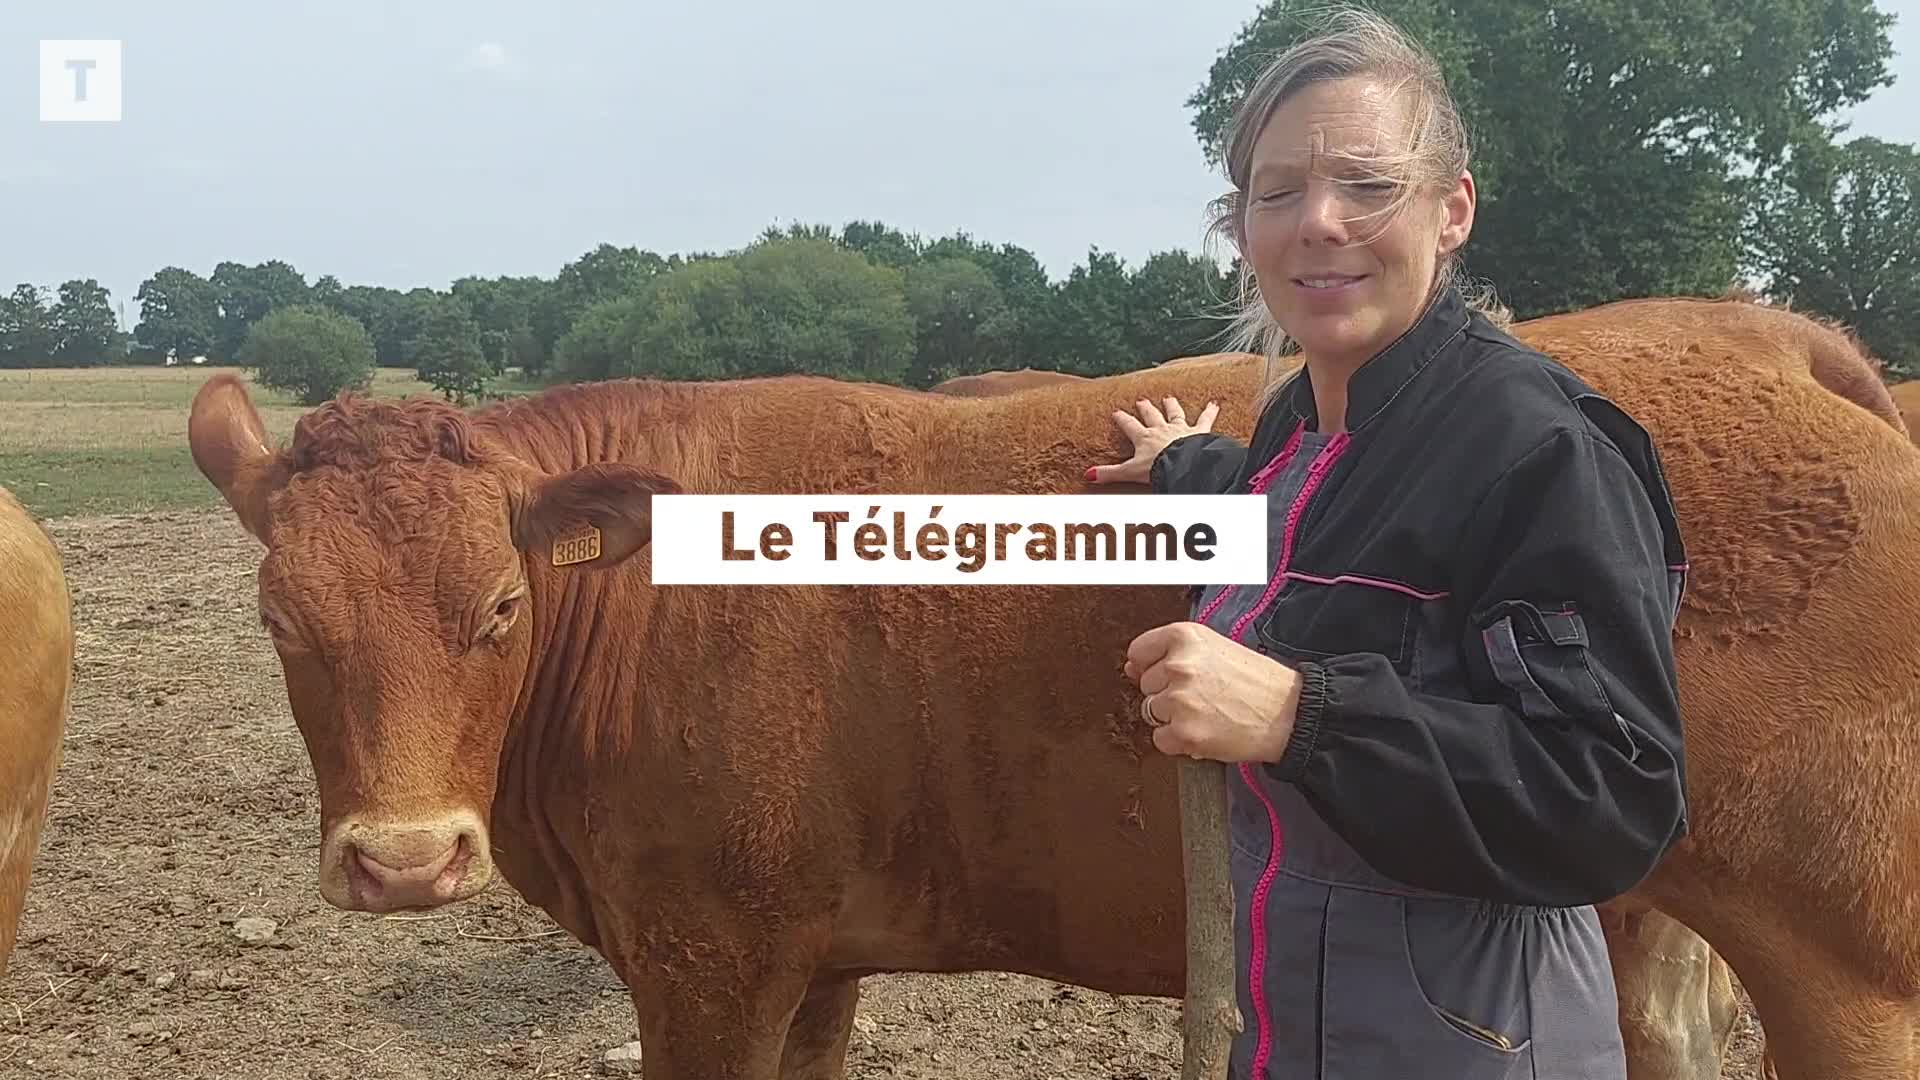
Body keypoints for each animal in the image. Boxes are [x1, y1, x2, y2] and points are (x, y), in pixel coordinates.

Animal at [191, 299, 1920, 1076]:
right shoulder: (807, 958)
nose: (404, 859)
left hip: (1846, 945)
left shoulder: (704, 957)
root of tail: (1752, 330)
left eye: (497, 605)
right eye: (276, 617)